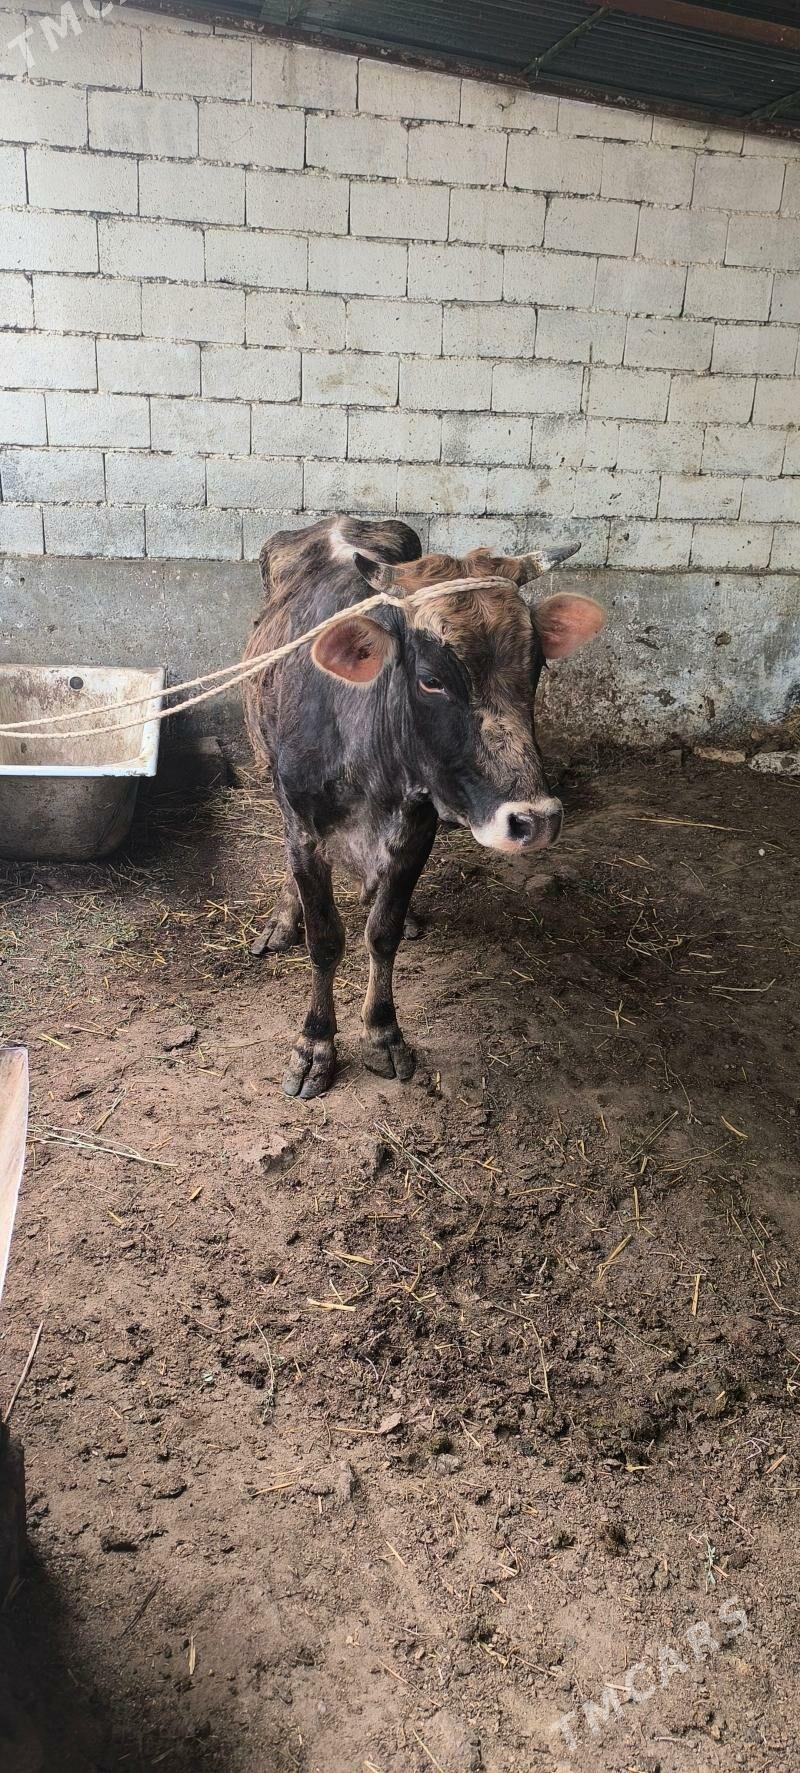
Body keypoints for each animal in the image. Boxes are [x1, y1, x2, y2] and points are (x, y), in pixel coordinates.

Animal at [243, 515, 605, 1100]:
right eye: (431, 679)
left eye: (536, 668)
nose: (536, 820)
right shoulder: (305, 829)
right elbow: (325, 940)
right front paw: (314, 1045)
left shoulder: (418, 830)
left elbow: (382, 932)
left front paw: (383, 1032)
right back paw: (283, 917)